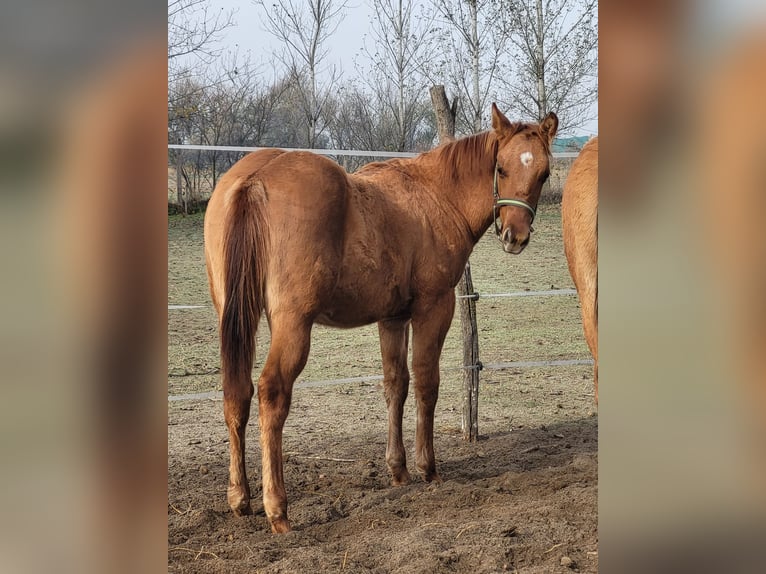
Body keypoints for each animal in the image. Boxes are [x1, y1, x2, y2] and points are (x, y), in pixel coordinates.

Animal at [203, 104, 558, 533]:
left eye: (544, 173)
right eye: (501, 168)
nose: (514, 236)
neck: (436, 197)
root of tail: (255, 179)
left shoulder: (392, 319)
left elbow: (395, 385)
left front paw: (398, 469)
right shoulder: (434, 308)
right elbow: (426, 383)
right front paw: (428, 468)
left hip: (236, 318)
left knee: (236, 393)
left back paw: (240, 498)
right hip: (292, 325)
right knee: (272, 394)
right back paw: (278, 509)